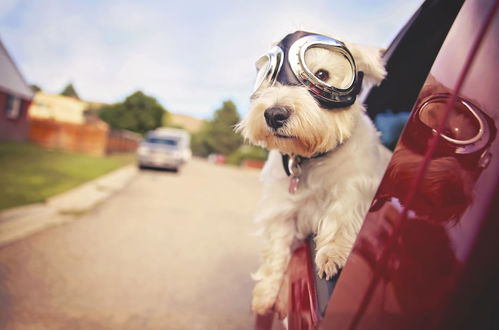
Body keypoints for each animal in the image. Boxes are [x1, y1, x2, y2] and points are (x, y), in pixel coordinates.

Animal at [236, 31, 392, 314]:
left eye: (322, 74)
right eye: (269, 77)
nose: (274, 114)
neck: (312, 158)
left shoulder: (356, 187)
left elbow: (341, 216)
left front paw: (332, 255)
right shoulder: (281, 210)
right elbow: (276, 250)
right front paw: (265, 294)